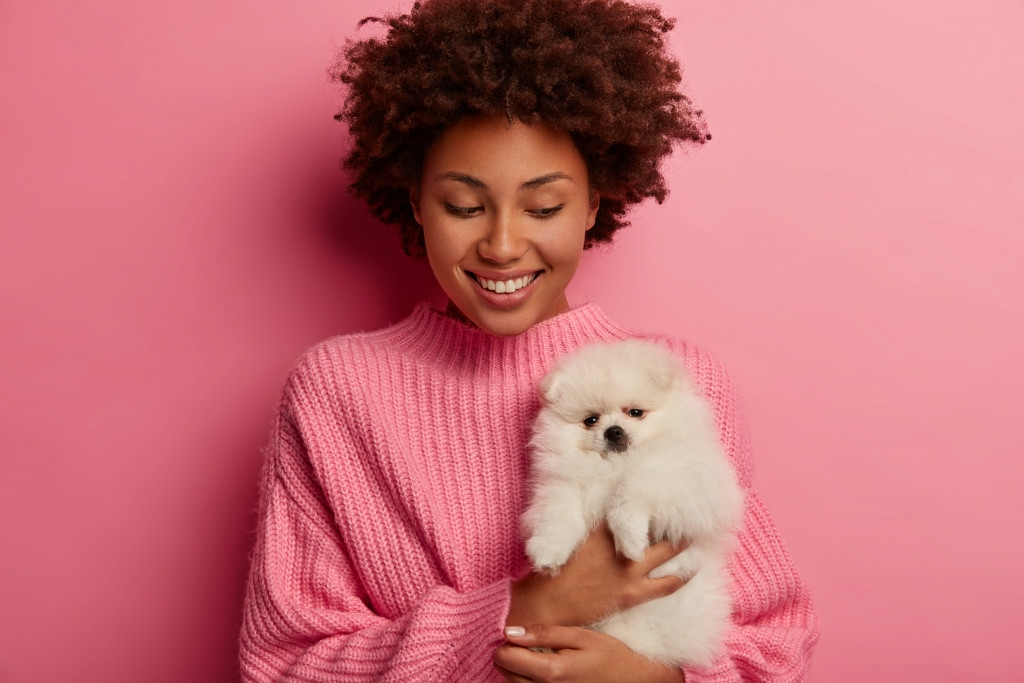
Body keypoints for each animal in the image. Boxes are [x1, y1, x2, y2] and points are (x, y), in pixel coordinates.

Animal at [520, 339, 745, 671]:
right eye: (591, 420)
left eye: (636, 412)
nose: (613, 430)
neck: (614, 464)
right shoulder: (563, 484)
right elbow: (557, 514)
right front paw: (548, 551)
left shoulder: (696, 482)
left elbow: (635, 482)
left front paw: (629, 538)